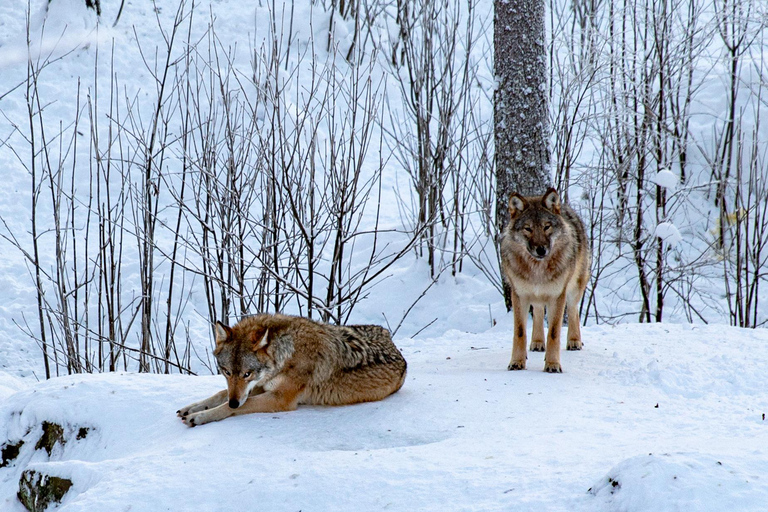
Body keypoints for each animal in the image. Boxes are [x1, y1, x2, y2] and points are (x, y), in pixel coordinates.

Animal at [178, 314, 408, 426]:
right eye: (226, 372)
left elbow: (231, 405)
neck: (286, 352)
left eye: (247, 374)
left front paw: (200, 417)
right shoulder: (261, 385)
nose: (235, 402)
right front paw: (193, 408)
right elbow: (220, 394)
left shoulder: (280, 398)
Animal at [500, 187, 592, 372]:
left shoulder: (557, 296)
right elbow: (520, 332)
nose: (541, 250)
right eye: (528, 228)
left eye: (546, 227)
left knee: (573, 310)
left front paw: (552, 365)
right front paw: (517, 362)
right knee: (537, 311)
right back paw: (537, 343)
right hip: (536, 296)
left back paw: (574, 341)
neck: (538, 269)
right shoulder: (519, 295)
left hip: (573, 289)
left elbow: (554, 333)